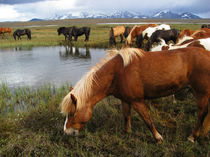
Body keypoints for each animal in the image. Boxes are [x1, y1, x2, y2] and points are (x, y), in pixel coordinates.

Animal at [60, 47, 210, 144]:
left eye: (72, 114)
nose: (66, 132)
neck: (118, 72)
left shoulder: (137, 101)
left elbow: (147, 120)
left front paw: (158, 138)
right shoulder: (126, 100)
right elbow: (126, 117)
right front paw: (126, 133)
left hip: (201, 93)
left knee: (201, 113)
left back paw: (192, 137)